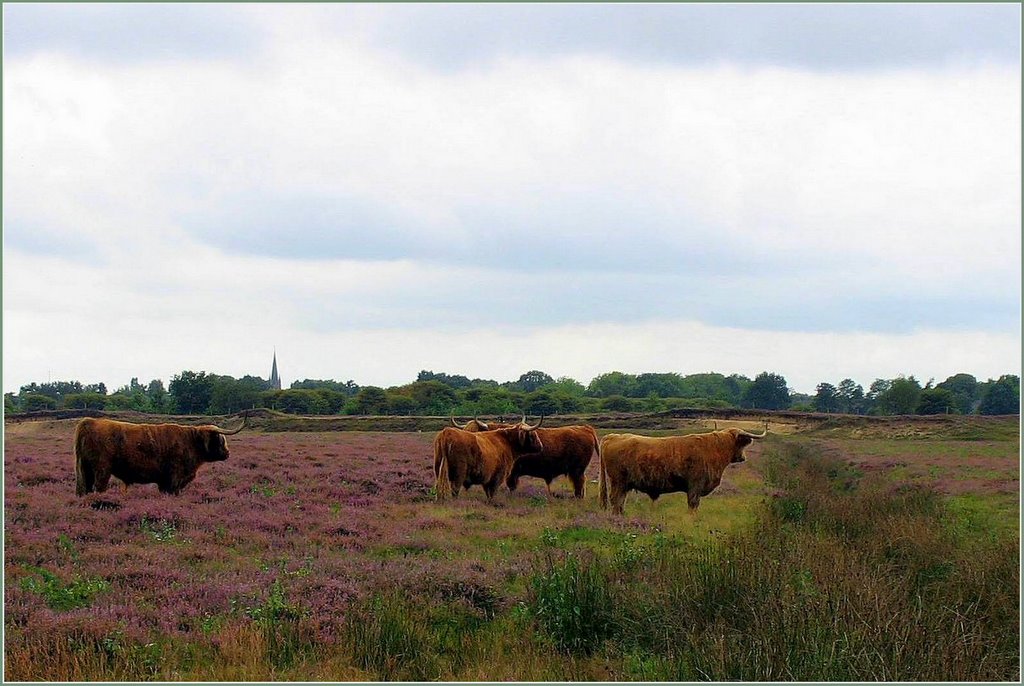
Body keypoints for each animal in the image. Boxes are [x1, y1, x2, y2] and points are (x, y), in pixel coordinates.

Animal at [74, 413, 248, 495]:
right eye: (220, 439)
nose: (227, 453)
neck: (191, 442)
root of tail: (88, 421)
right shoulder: (175, 478)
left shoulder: (164, 481)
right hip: (102, 469)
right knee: (98, 487)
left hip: (86, 468)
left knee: (86, 488)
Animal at [598, 423, 770, 516]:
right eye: (742, 444)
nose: (743, 458)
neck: (715, 449)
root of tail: (612, 436)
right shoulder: (695, 485)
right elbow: (693, 505)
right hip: (618, 482)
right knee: (616, 500)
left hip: (624, 485)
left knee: (620, 502)